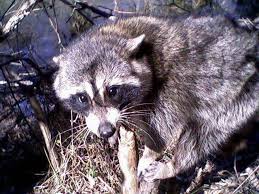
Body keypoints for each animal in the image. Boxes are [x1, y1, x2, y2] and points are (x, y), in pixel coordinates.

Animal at [53, 14, 259, 182]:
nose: (105, 130)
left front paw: (151, 152)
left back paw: (174, 166)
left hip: (242, 96)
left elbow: (162, 131)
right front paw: (114, 131)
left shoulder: (172, 86)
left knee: (204, 134)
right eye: (82, 98)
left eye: (112, 91)